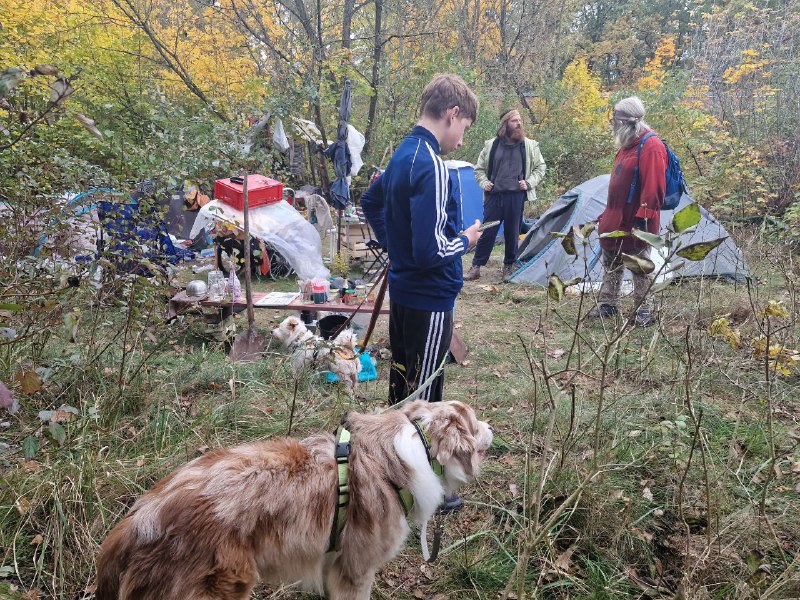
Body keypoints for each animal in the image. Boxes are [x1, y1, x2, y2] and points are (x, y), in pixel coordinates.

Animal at [96, 398, 490, 600]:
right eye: (475, 423)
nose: (492, 427)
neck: (414, 446)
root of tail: (138, 519)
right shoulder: (357, 568)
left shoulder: (334, 561)